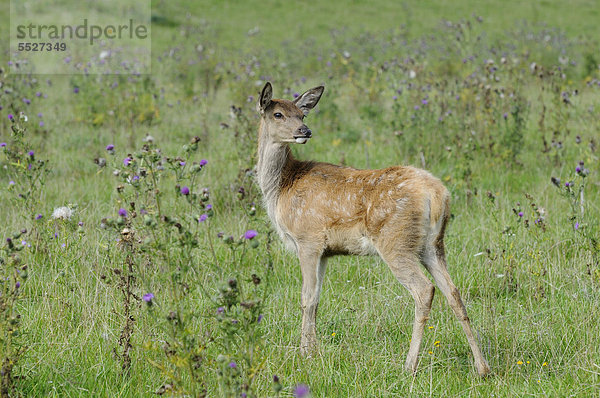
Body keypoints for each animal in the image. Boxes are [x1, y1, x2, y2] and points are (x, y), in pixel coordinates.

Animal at [255, 81, 490, 376]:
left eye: (301, 114)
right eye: (278, 114)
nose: (304, 131)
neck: (282, 187)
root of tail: (438, 195)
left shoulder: (307, 239)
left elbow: (306, 299)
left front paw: (305, 354)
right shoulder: (324, 251)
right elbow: (317, 300)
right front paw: (313, 351)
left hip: (395, 240)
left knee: (425, 290)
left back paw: (409, 365)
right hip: (433, 245)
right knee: (454, 292)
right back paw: (482, 367)